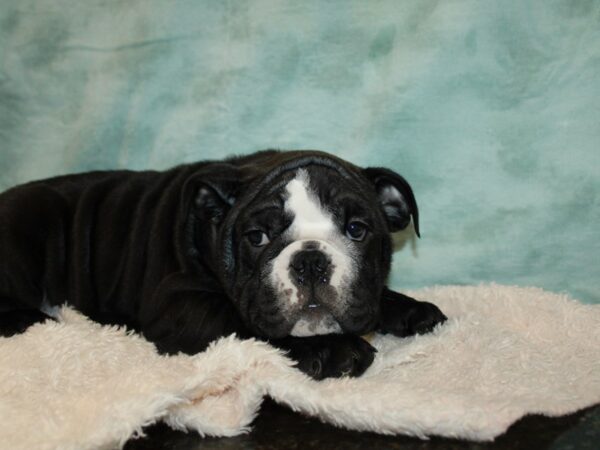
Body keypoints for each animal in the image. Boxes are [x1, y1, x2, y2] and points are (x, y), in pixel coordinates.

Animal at [0, 151, 446, 380]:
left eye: (357, 229)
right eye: (257, 237)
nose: (310, 261)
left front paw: (410, 310)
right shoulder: (178, 306)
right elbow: (243, 321)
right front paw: (332, 348)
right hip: (28, 220)